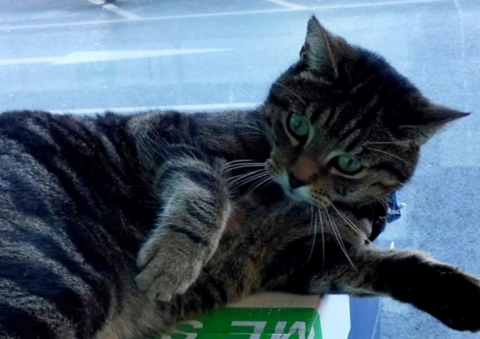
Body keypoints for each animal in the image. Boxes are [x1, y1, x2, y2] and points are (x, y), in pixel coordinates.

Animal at [0, 16, 480, 339]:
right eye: (298, 125)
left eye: (349, 163)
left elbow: (395, 266)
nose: (297, 177)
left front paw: (460, 294)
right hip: (55, 277)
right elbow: (207, 192)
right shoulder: (170, 135)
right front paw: (174, 261)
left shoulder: (307, 260)